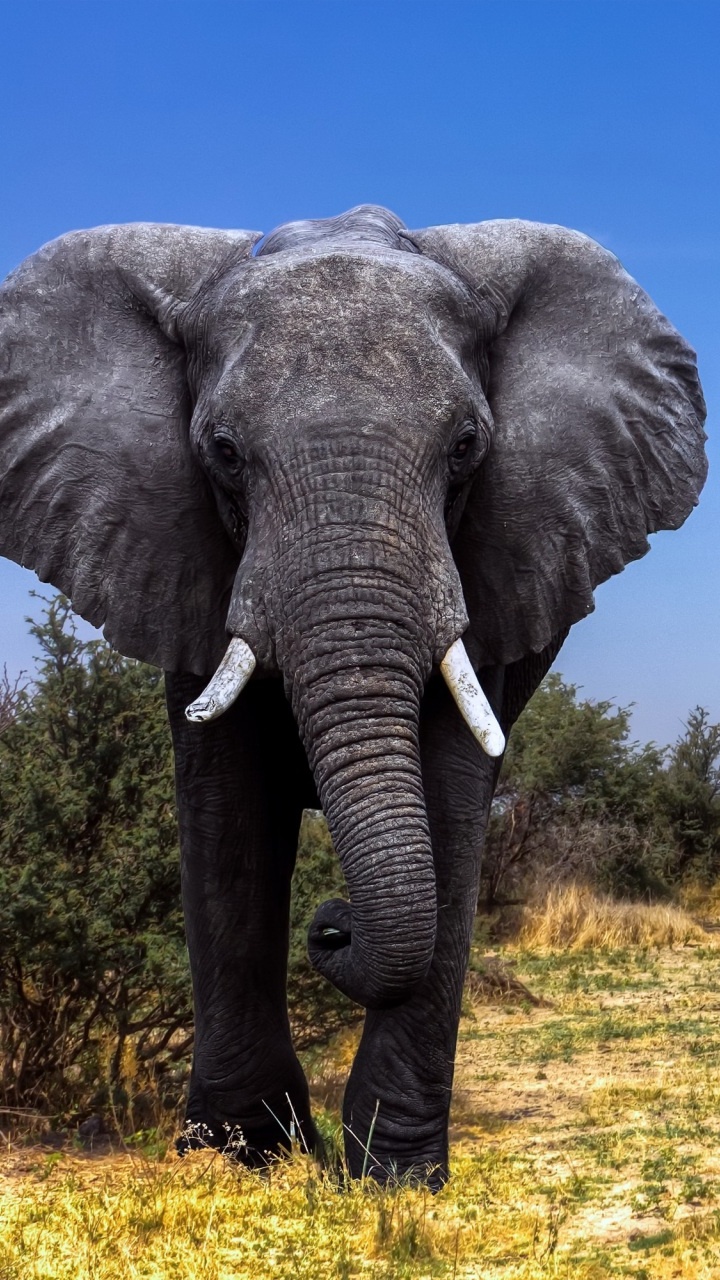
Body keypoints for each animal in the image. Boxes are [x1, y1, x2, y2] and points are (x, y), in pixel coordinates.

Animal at [0, 204, 707, 1188]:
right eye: (221, 452)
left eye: (467, 448)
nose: (331, 927)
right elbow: (227, 815)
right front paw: (239, 1160)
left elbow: (449, 803)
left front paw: (394, 1179)